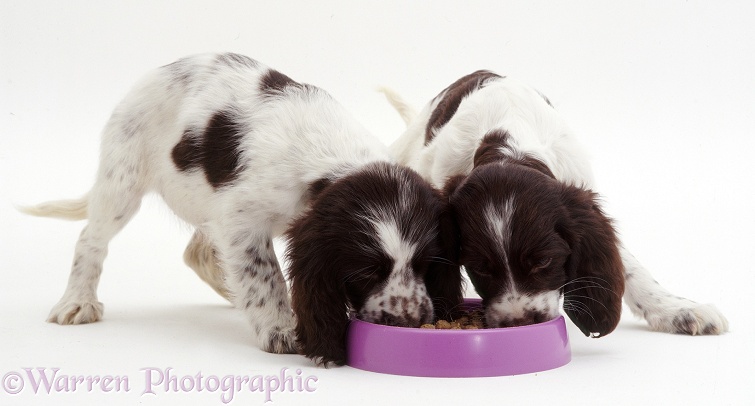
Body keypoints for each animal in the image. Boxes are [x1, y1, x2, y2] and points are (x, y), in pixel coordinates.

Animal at [20, 52, 460, 366]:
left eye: (425, 265)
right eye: (367, 272)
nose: (413, 320)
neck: (336, 163)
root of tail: (159, 70)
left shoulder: (232, 216)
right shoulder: (242, 219)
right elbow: (264, 275)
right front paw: (281, 328)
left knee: (197, 251)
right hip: (123, 177)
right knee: (91, 238)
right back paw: (78, 300)